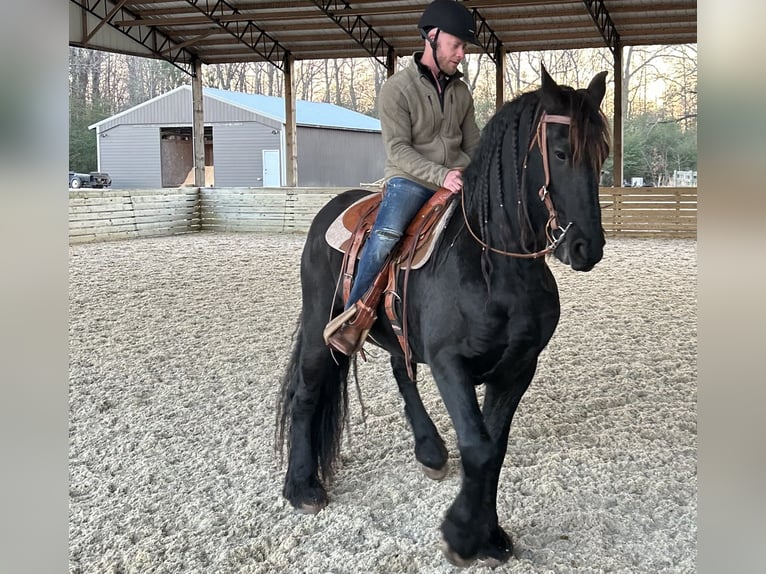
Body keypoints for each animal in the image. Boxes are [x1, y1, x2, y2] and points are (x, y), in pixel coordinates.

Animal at [276, 66, 612, 568]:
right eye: (560, 151)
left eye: (602, 154)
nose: (587, 247)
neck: (495, 267)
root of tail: (329, 212)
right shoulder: (450, 363)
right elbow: (477, 446)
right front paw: (461, 535)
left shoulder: (517, 368)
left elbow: (495, 447)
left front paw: (488, 536)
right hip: (322, 326)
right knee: (307, 393)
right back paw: (302, 487)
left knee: (401, 371)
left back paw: (429, 450)